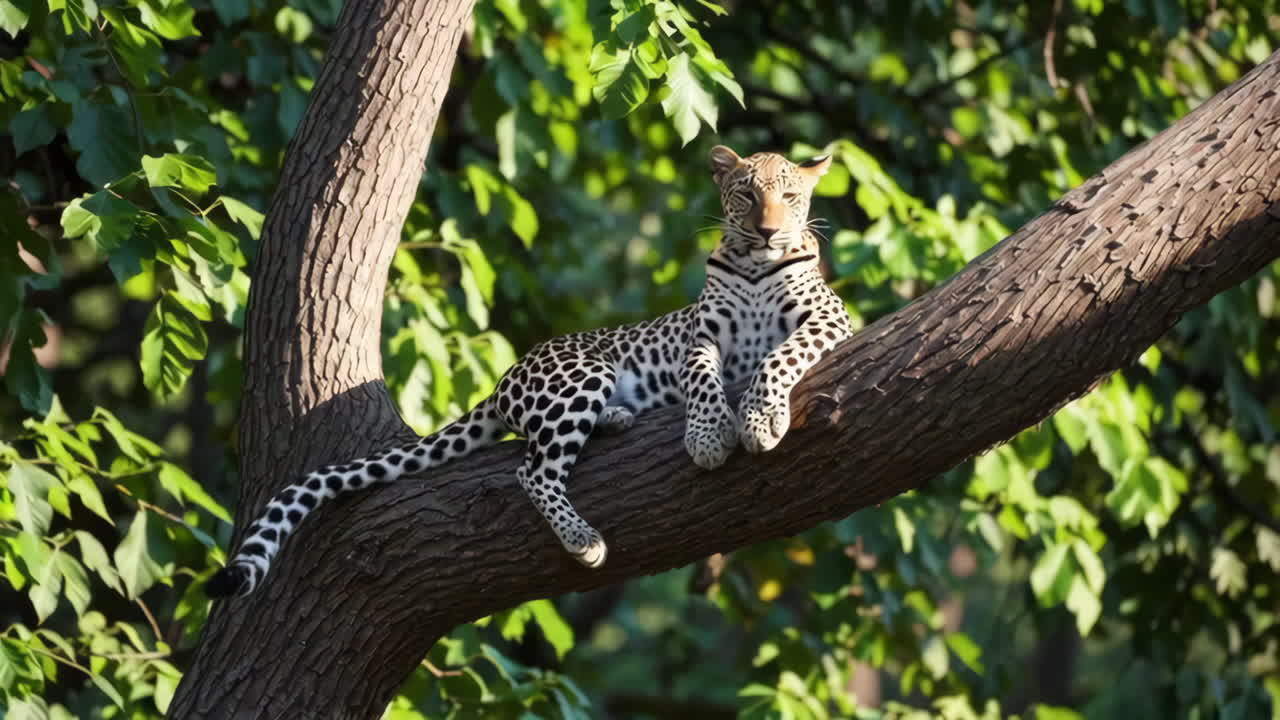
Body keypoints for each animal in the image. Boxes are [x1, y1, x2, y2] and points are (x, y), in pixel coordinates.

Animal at [206, 145, 854, 598]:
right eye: (745, 194)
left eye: (790, 197)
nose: (769, 229)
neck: (755, 262)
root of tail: (504, 379)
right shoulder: (704, 336)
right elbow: (701, 375)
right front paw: (710, 434)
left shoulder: (830, 318)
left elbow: (777, 356)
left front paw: (760, 418)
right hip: (580, 378)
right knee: (533, 469)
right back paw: (585, 538)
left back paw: (617, 422)